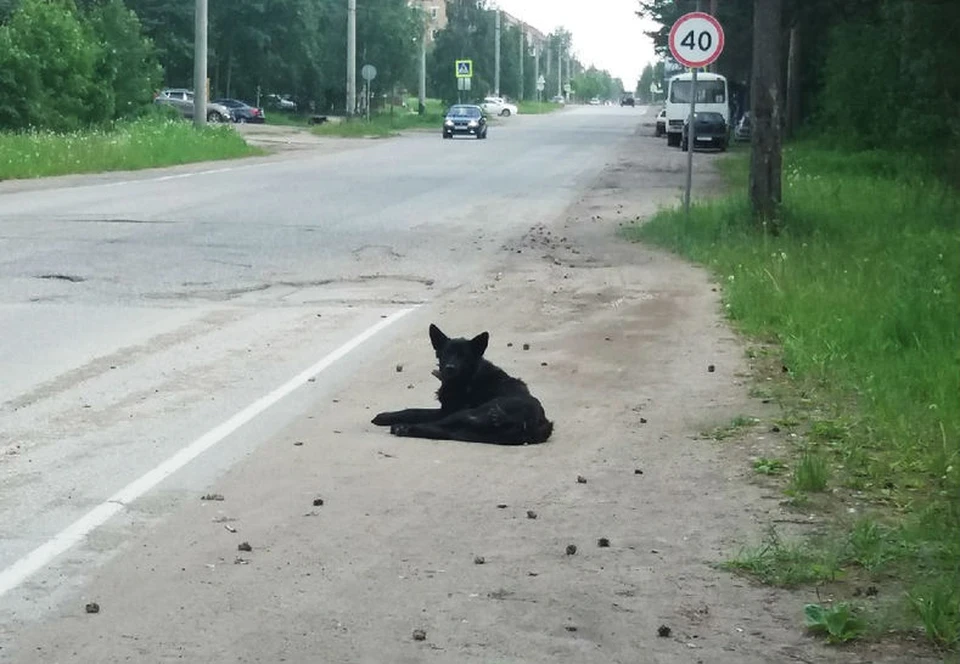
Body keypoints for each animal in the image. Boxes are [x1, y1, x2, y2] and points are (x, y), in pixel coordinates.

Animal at [374, 322, 556, 444]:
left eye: (464, 356)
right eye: (446, 353)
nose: (450, 368)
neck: (469, 377)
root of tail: (532, 423)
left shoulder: (447, 411)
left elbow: (415, 411)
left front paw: (385, 416)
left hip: (468, 414)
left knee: (435, 426)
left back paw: (403, 428)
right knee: (442, 431)